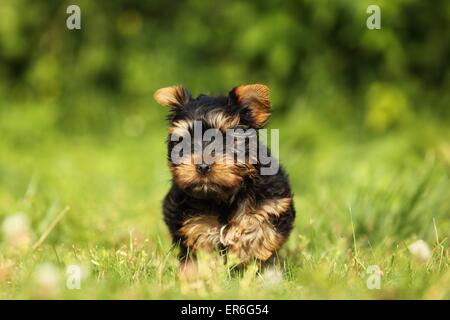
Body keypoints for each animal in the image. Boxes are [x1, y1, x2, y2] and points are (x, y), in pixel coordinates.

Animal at [155, 84, 296, 270]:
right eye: (184, 142)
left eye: (226, 139)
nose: (203, 166)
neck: (222, 197)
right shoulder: (187, 216)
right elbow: (200, 237)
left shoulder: (273, 203)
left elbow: (260, 229)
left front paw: (243, 251)